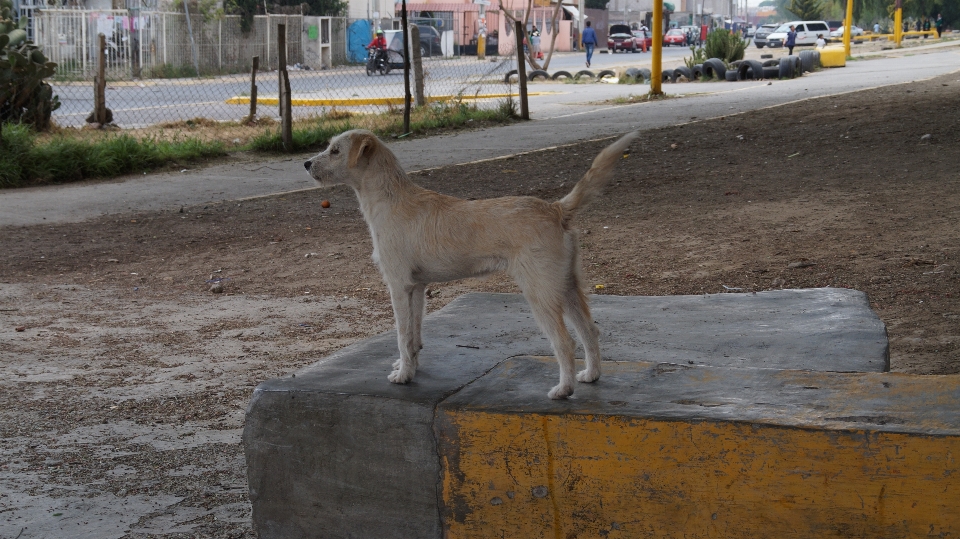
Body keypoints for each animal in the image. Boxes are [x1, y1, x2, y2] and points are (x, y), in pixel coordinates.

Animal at [308, 130, 636, 400]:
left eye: (335, 150)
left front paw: (402, 375)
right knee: (590, 331)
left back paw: (563, 389)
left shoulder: (398, 287)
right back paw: (591, 375)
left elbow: (401, 336)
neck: (392, 198)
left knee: (565, 343)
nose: (307, 164)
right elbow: (414, 336)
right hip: (567, 287)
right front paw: (410, 367)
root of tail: (556, 208)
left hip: (541, 294)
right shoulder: (417, 288)